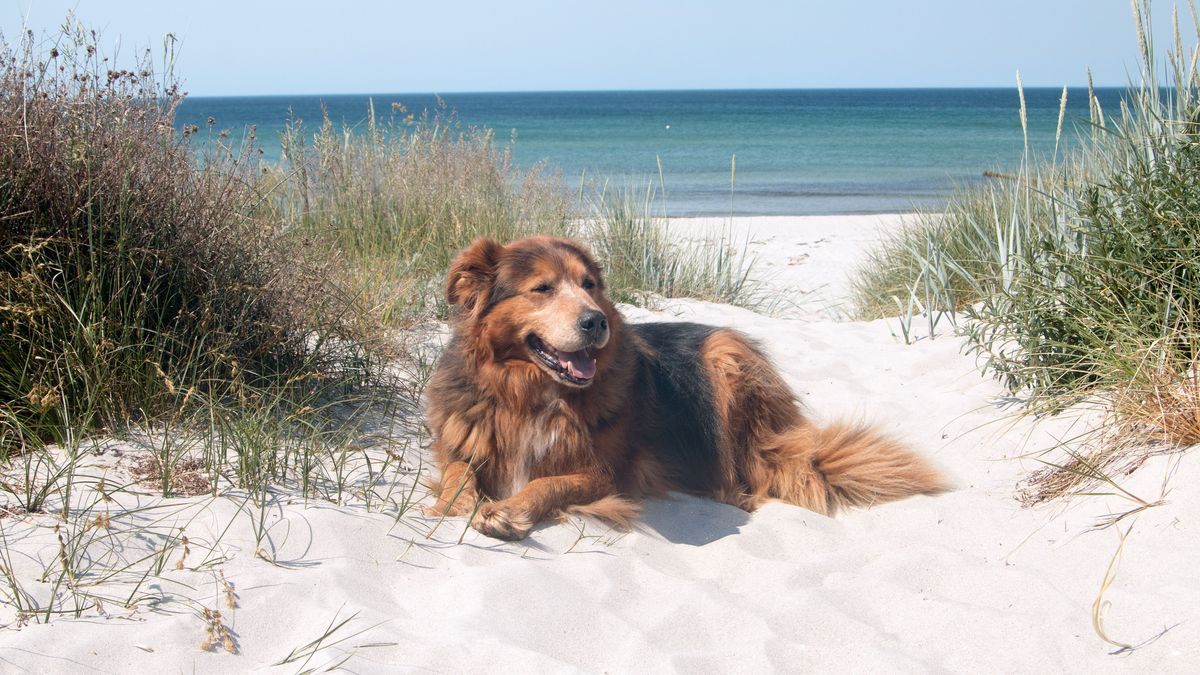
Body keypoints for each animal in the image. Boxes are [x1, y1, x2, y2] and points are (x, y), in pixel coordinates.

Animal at [422, 234, 945, 538]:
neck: (527, 392)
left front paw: (508, 511)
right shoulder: (460, 443)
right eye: (542, 289)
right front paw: (457, 502)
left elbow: (547, 482)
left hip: (727, 358)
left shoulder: (605, 473)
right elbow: (459, 472)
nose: (596, 322)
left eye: (590, 285)